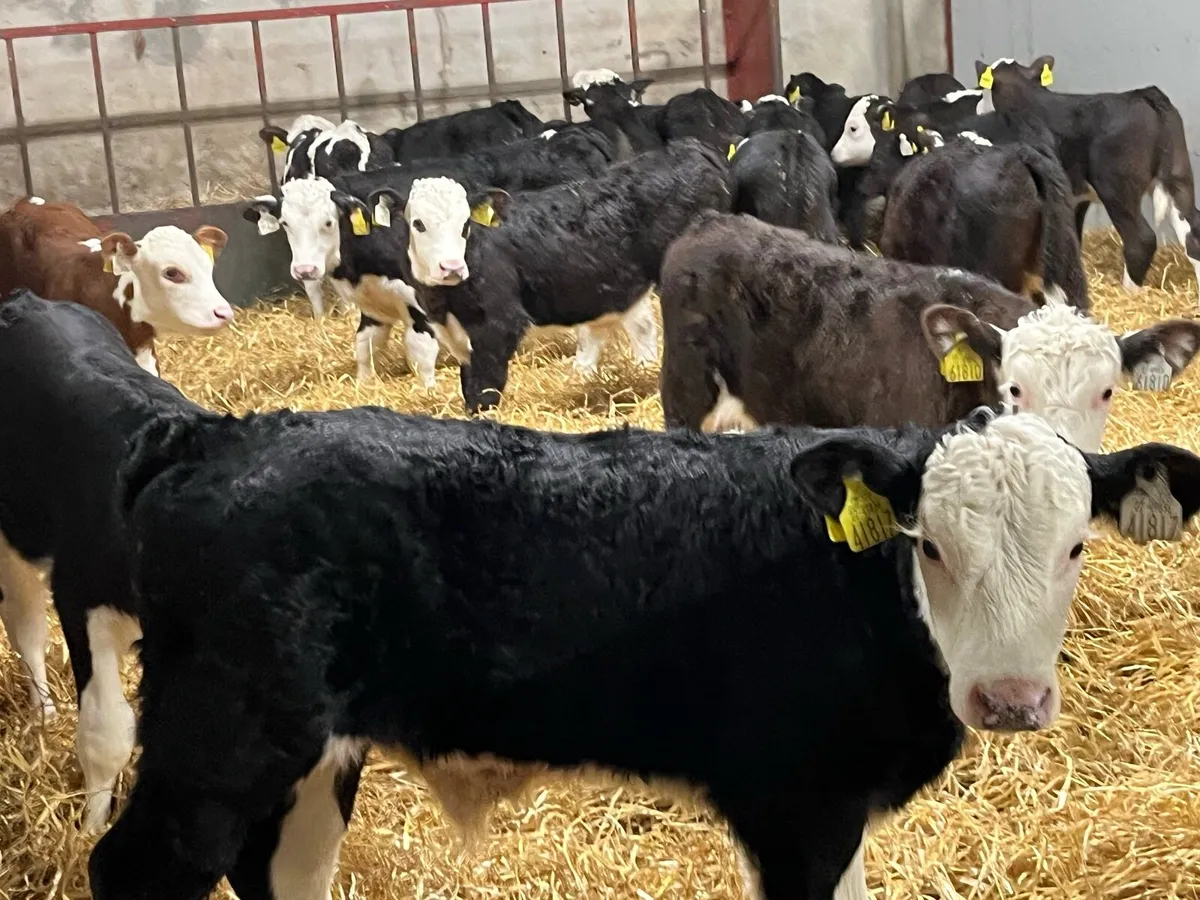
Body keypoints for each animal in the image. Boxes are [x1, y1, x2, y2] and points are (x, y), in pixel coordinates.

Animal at [88, 402, 1200, 900]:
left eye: (1075, 546)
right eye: (929, 544)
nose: (1008, 698)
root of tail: (215, 434)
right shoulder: (797, 804)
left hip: (311, 756)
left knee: (280, 871)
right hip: (221, 737)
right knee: (139, 868)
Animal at [375, 139, 731, 412]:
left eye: (465, 224)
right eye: (418, 223)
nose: (450, 267)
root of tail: (687, 147)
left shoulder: (499, 324)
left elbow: (485, 388)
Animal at [977, 56, 1200, 301]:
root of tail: (1145, 95)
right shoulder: (1076, 197)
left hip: (1115, 188)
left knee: (1141, 240)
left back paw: (1127, 293)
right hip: (1179, 178)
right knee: (1192, 232)